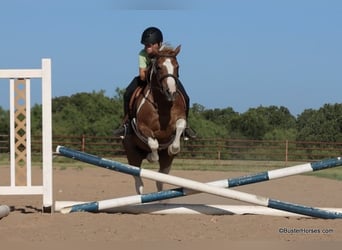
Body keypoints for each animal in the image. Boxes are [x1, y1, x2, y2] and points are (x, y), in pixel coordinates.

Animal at [123, 44, 187, 193]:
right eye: (158, 67)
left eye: (177, 66)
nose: (171, 92)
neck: (163, 105)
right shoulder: (141, 126)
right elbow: (153, 144)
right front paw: (151, 157)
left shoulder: (180, 118)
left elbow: (180, 126)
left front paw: (173, 148)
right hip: (132, 155)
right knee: (139, 182)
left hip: (166, 162)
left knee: (160, 179)